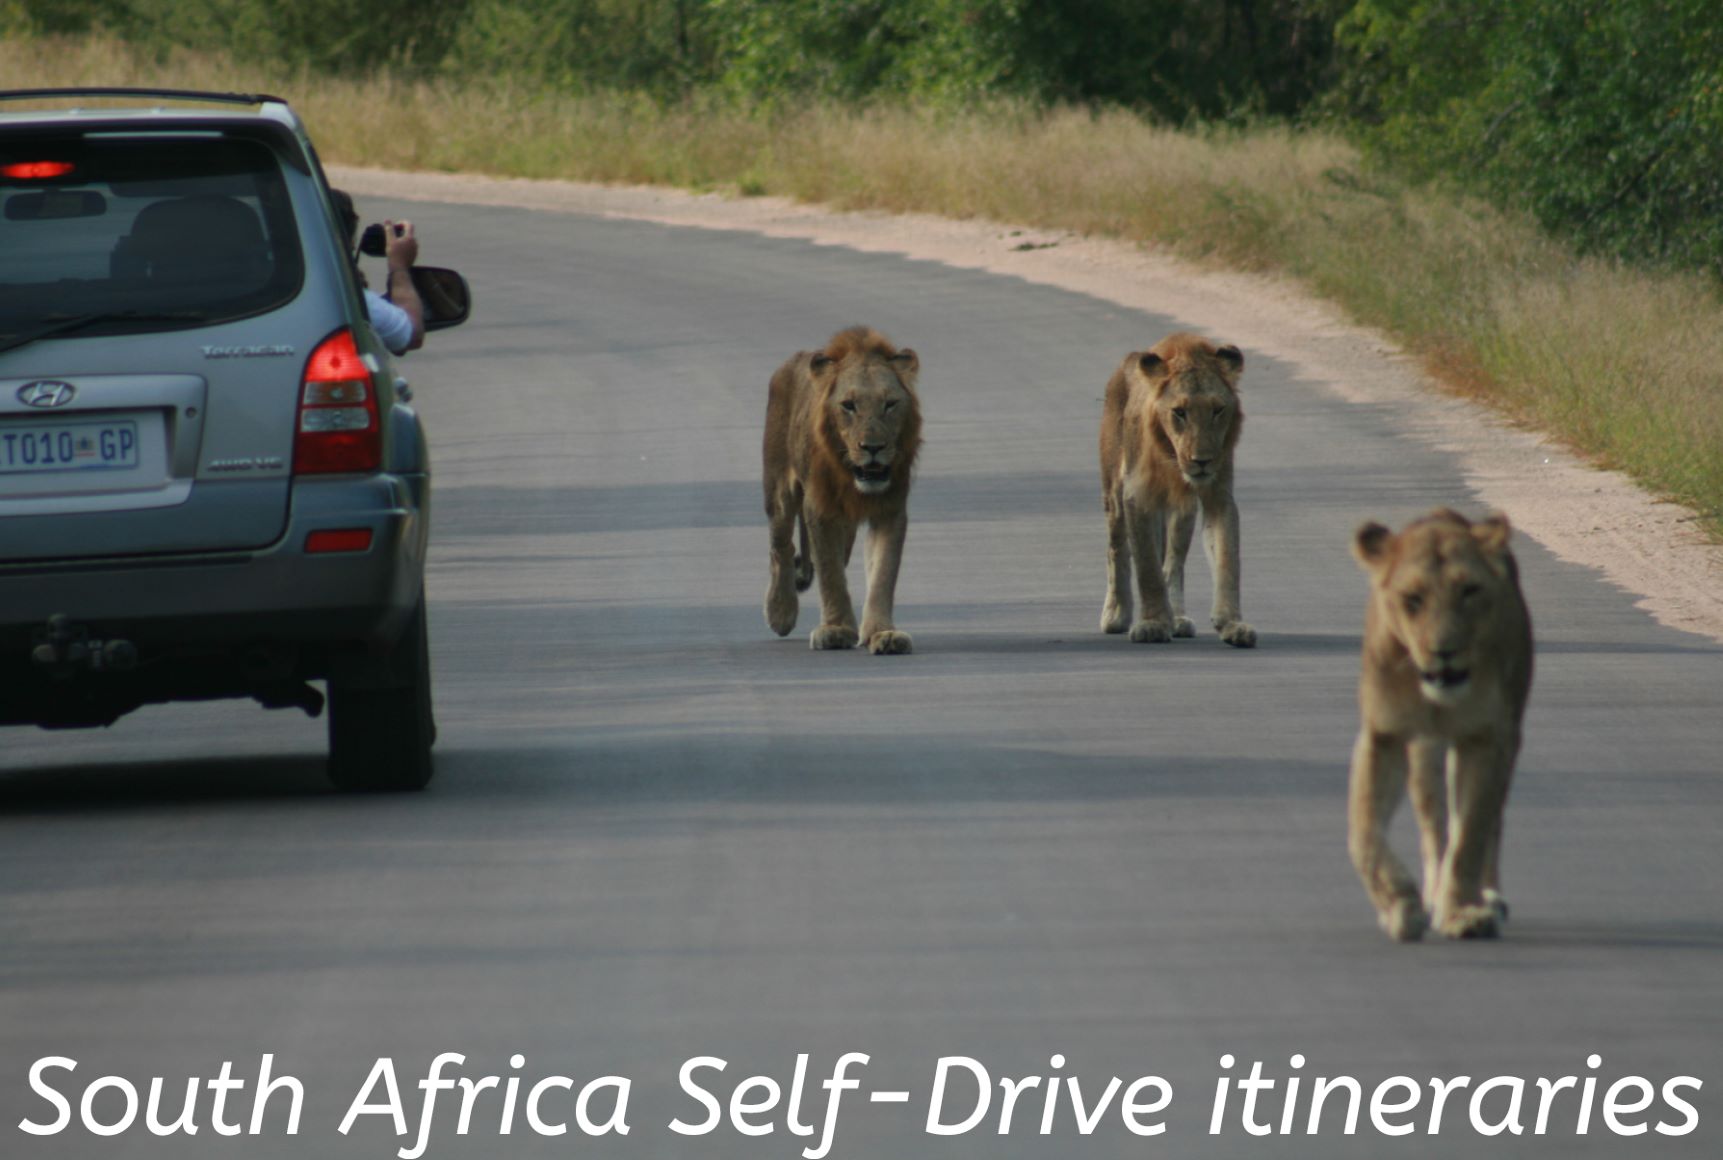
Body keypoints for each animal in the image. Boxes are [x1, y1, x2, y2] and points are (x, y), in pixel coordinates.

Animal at [761, 325, 923, 651]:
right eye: (849, 406)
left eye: (890, 404)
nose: (872, 447)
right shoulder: (819, 509)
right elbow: (830, 572)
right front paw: (836, 630)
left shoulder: (890, 510)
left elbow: (883, 572)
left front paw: (882, 633)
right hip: (779, 490)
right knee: (781, 546)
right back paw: (780, 611)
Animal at [1095, 330, 1261, 648]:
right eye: (1179, 412)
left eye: (1217, 410)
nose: (1202, 461)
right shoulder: (1137, 495)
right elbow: (1147, 565)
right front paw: (1153, 624)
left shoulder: (1218, 496)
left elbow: (1227, 558)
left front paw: (1232, 624)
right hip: (1114, 494)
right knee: (1116, 549)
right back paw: (1116, 614)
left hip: (1182, 512)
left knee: (1173, 563)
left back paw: (1178, 618)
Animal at [1343, 506, 1536, 937]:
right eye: (1412, 599)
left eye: (1469, 591)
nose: (1444, 650)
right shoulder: (1383, 736)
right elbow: (1363, 832)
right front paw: (1400, 903)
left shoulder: (1487, 738)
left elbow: (1471, 836)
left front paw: (1462, 912)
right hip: (1424, 752)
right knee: (1433, 824)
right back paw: (1431, 892)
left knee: (1489, 823)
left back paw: (1487, 899)